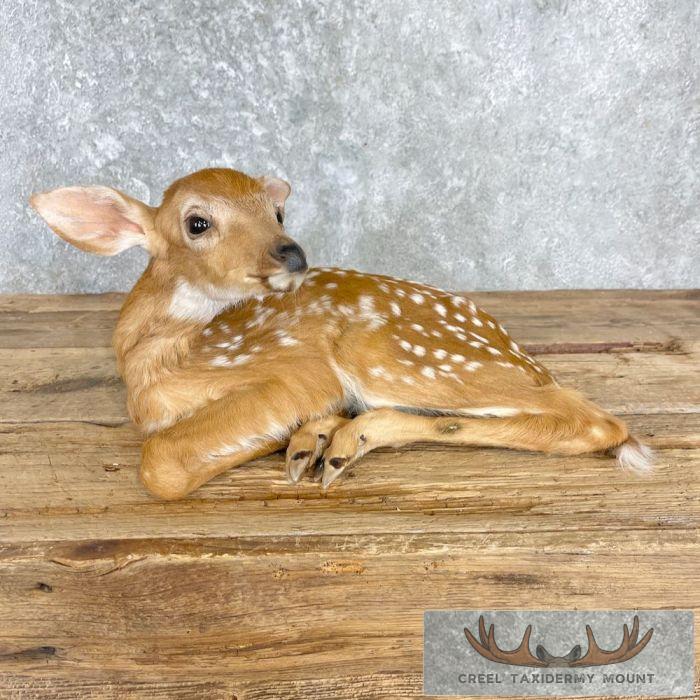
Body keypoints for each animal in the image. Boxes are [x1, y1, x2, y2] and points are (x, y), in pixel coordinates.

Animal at [30, 167, 653, 500]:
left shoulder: (295, 373)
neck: (159, 362)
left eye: (277, 214)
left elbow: (160, 463)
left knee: (594, 420)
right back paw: (326, 442)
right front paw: (305, 436)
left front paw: (281, 435)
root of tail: (518, 351)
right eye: (197, 222)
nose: (293, 252)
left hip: (395, 354)